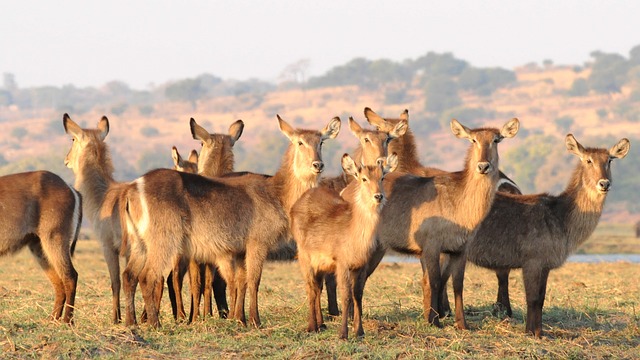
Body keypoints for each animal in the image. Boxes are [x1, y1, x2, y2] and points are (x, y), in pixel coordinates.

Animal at [0, 169, 82, 324]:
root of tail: (69, 187)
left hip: (54, 238)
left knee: (71, 276)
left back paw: (67, 320)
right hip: (39, 247)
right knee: (58, 283)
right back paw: (52, 318)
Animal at [120, 116, 340, 330]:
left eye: (321, 142)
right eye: (300, 142)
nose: (318, 165)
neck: (277, 193)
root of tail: (134, 188)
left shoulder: (239, 251)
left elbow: (240, 281)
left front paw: (239, 319)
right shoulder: (257, 244)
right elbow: (253, 280)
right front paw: (255, 321)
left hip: (140, 244)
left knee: (129, 275)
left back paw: (132, 322)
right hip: (164, 242)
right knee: (148, 277)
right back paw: (155, 323)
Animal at [292, 153, 398, 338]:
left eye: (382, 177)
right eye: (364, 178)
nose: (378, 196)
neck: (355, 236)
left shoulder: (361, 266)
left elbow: (358, 295)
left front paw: (359, 331)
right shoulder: (342, 264)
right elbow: (346, 295)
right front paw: (343, 333)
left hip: (321, 264)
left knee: (317, 288)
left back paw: (321, 324)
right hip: (305, 257)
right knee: (311, 288)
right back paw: (312, 326)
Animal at [368, 116, 516, 328]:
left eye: (496, 140)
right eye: (473, 140)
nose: (483, 166)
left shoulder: (460, 250)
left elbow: (456, 283)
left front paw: (461, 324)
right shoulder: (431, 248)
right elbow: (434, 281)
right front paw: (433, 319)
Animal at [456, 135, 632, 338]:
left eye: (609, 160)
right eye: (588, 160)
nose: (604, 183)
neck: (561, 216)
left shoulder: (545, 265)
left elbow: (541, 298)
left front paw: (539, 331)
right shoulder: (532, 261)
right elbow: (532, 298)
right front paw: (531, 332)